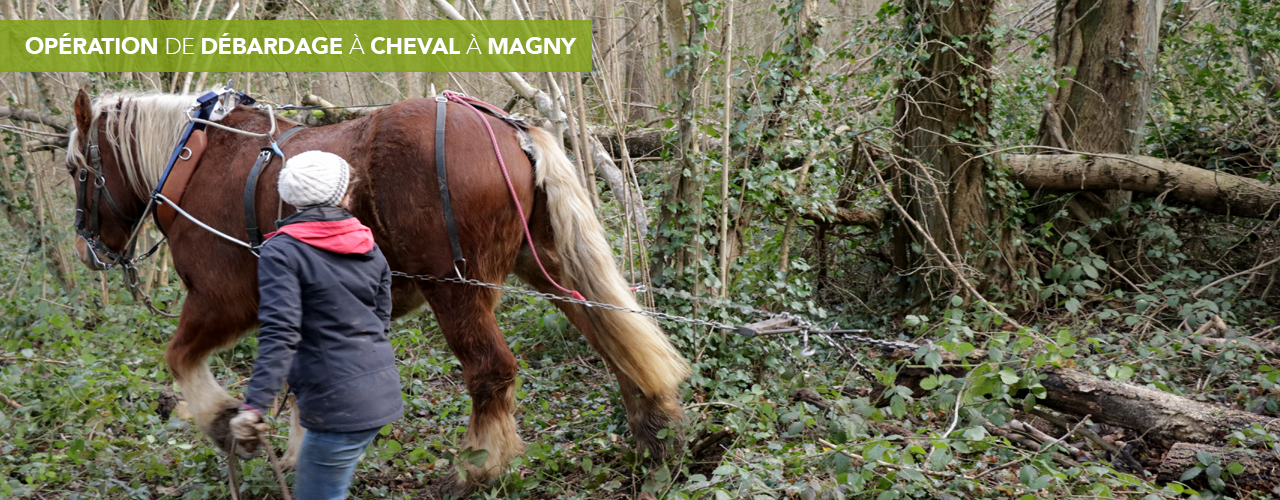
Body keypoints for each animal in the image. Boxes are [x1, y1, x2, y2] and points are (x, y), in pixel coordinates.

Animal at [67, 88, 691, 493]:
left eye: (76, 170)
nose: (87, 249)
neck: (193, 164)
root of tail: (507, 128)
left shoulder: (221, 301)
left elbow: (179, 358)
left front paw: (225, 422)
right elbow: (304, 385)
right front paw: (296, 455)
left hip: (455, 286)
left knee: (492, 369)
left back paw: (475, 469)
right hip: (545, 261)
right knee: (610, 329)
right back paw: (652, 427)